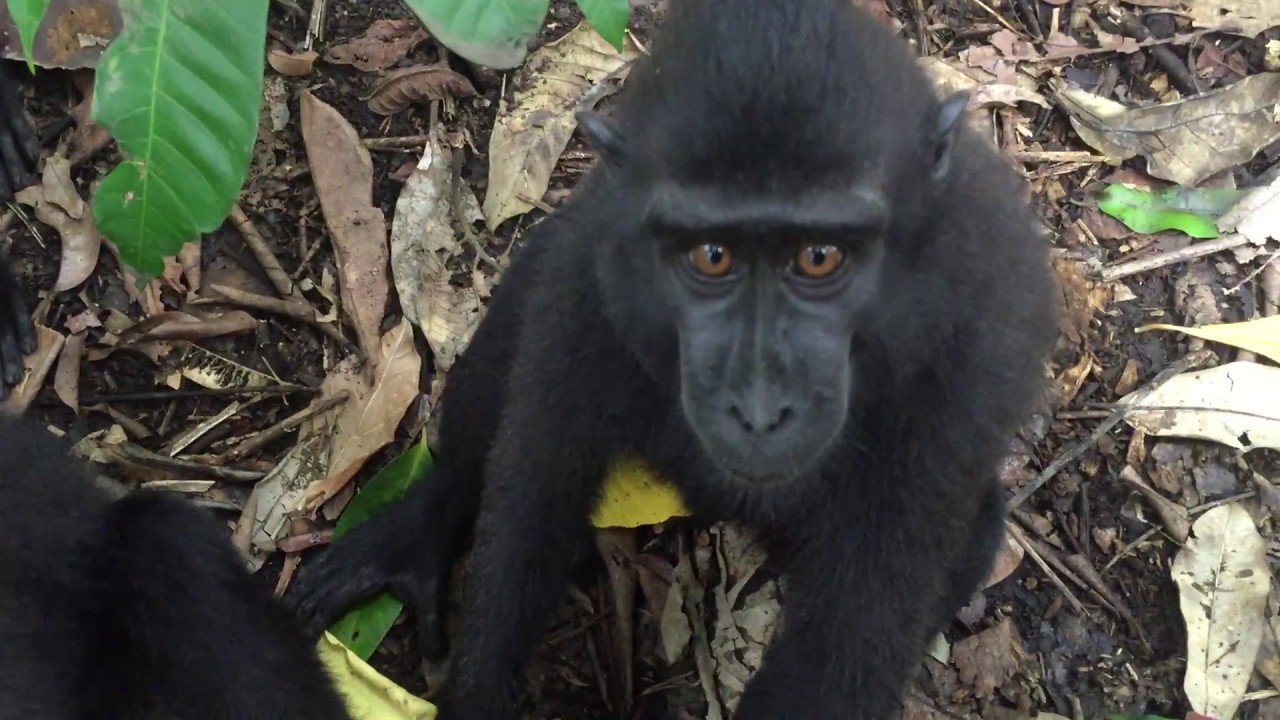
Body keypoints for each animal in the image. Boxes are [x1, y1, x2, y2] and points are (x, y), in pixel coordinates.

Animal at [289, 0, 1056, 718]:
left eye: (819, 257)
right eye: (712, 256)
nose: (758, 409)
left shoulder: (971, 362)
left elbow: (853, 630)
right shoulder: (592, 278)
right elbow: (534, 493)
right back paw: (427, 522)